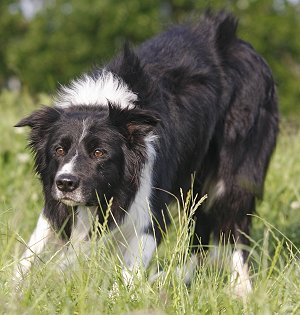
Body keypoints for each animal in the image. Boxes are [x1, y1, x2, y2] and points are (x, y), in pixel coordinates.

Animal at [15, 11, 278, 296]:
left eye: (99, 152)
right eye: (59, 150)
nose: (65, 183)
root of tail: (237, 40)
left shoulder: (151, 208)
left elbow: (130, 270)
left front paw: (117, 296)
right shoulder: (56, 204)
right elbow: (32, 249)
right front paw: (17, 290)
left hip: (235, 165)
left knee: (234, 222)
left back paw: (241, 289)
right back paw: (177, 277)